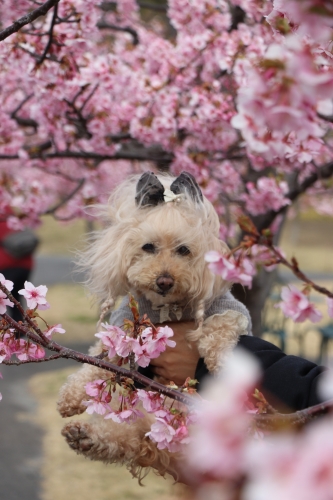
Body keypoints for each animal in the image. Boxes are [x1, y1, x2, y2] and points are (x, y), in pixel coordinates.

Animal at [57, 173, 249, 480]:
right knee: (131, 438)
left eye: (184, 250)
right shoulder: (122, 328)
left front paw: (222, 362)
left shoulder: (229, 311)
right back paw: (85, 437)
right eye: (148, 247)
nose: (164, 280)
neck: (167, 308)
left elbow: (220, 330)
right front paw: (70, 397)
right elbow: (96, 361)